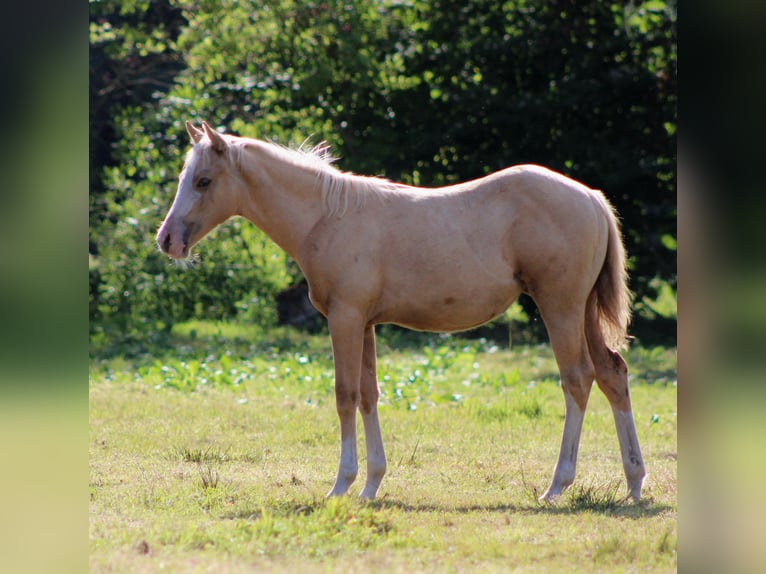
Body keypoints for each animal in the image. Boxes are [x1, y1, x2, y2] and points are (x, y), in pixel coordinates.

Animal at [157, 121, 646, 503]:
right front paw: (372, 484)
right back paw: (635, 482)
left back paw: (558, 485)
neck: (327, 217)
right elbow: (369, 395)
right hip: (584, 310)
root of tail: (591, 197)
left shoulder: (345, 319)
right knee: (613, 374)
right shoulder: (365, 324)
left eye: (203, 181)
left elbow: (345, 395)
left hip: (560, 307)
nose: (168, 241)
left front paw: (341, 485)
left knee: (577, 379)